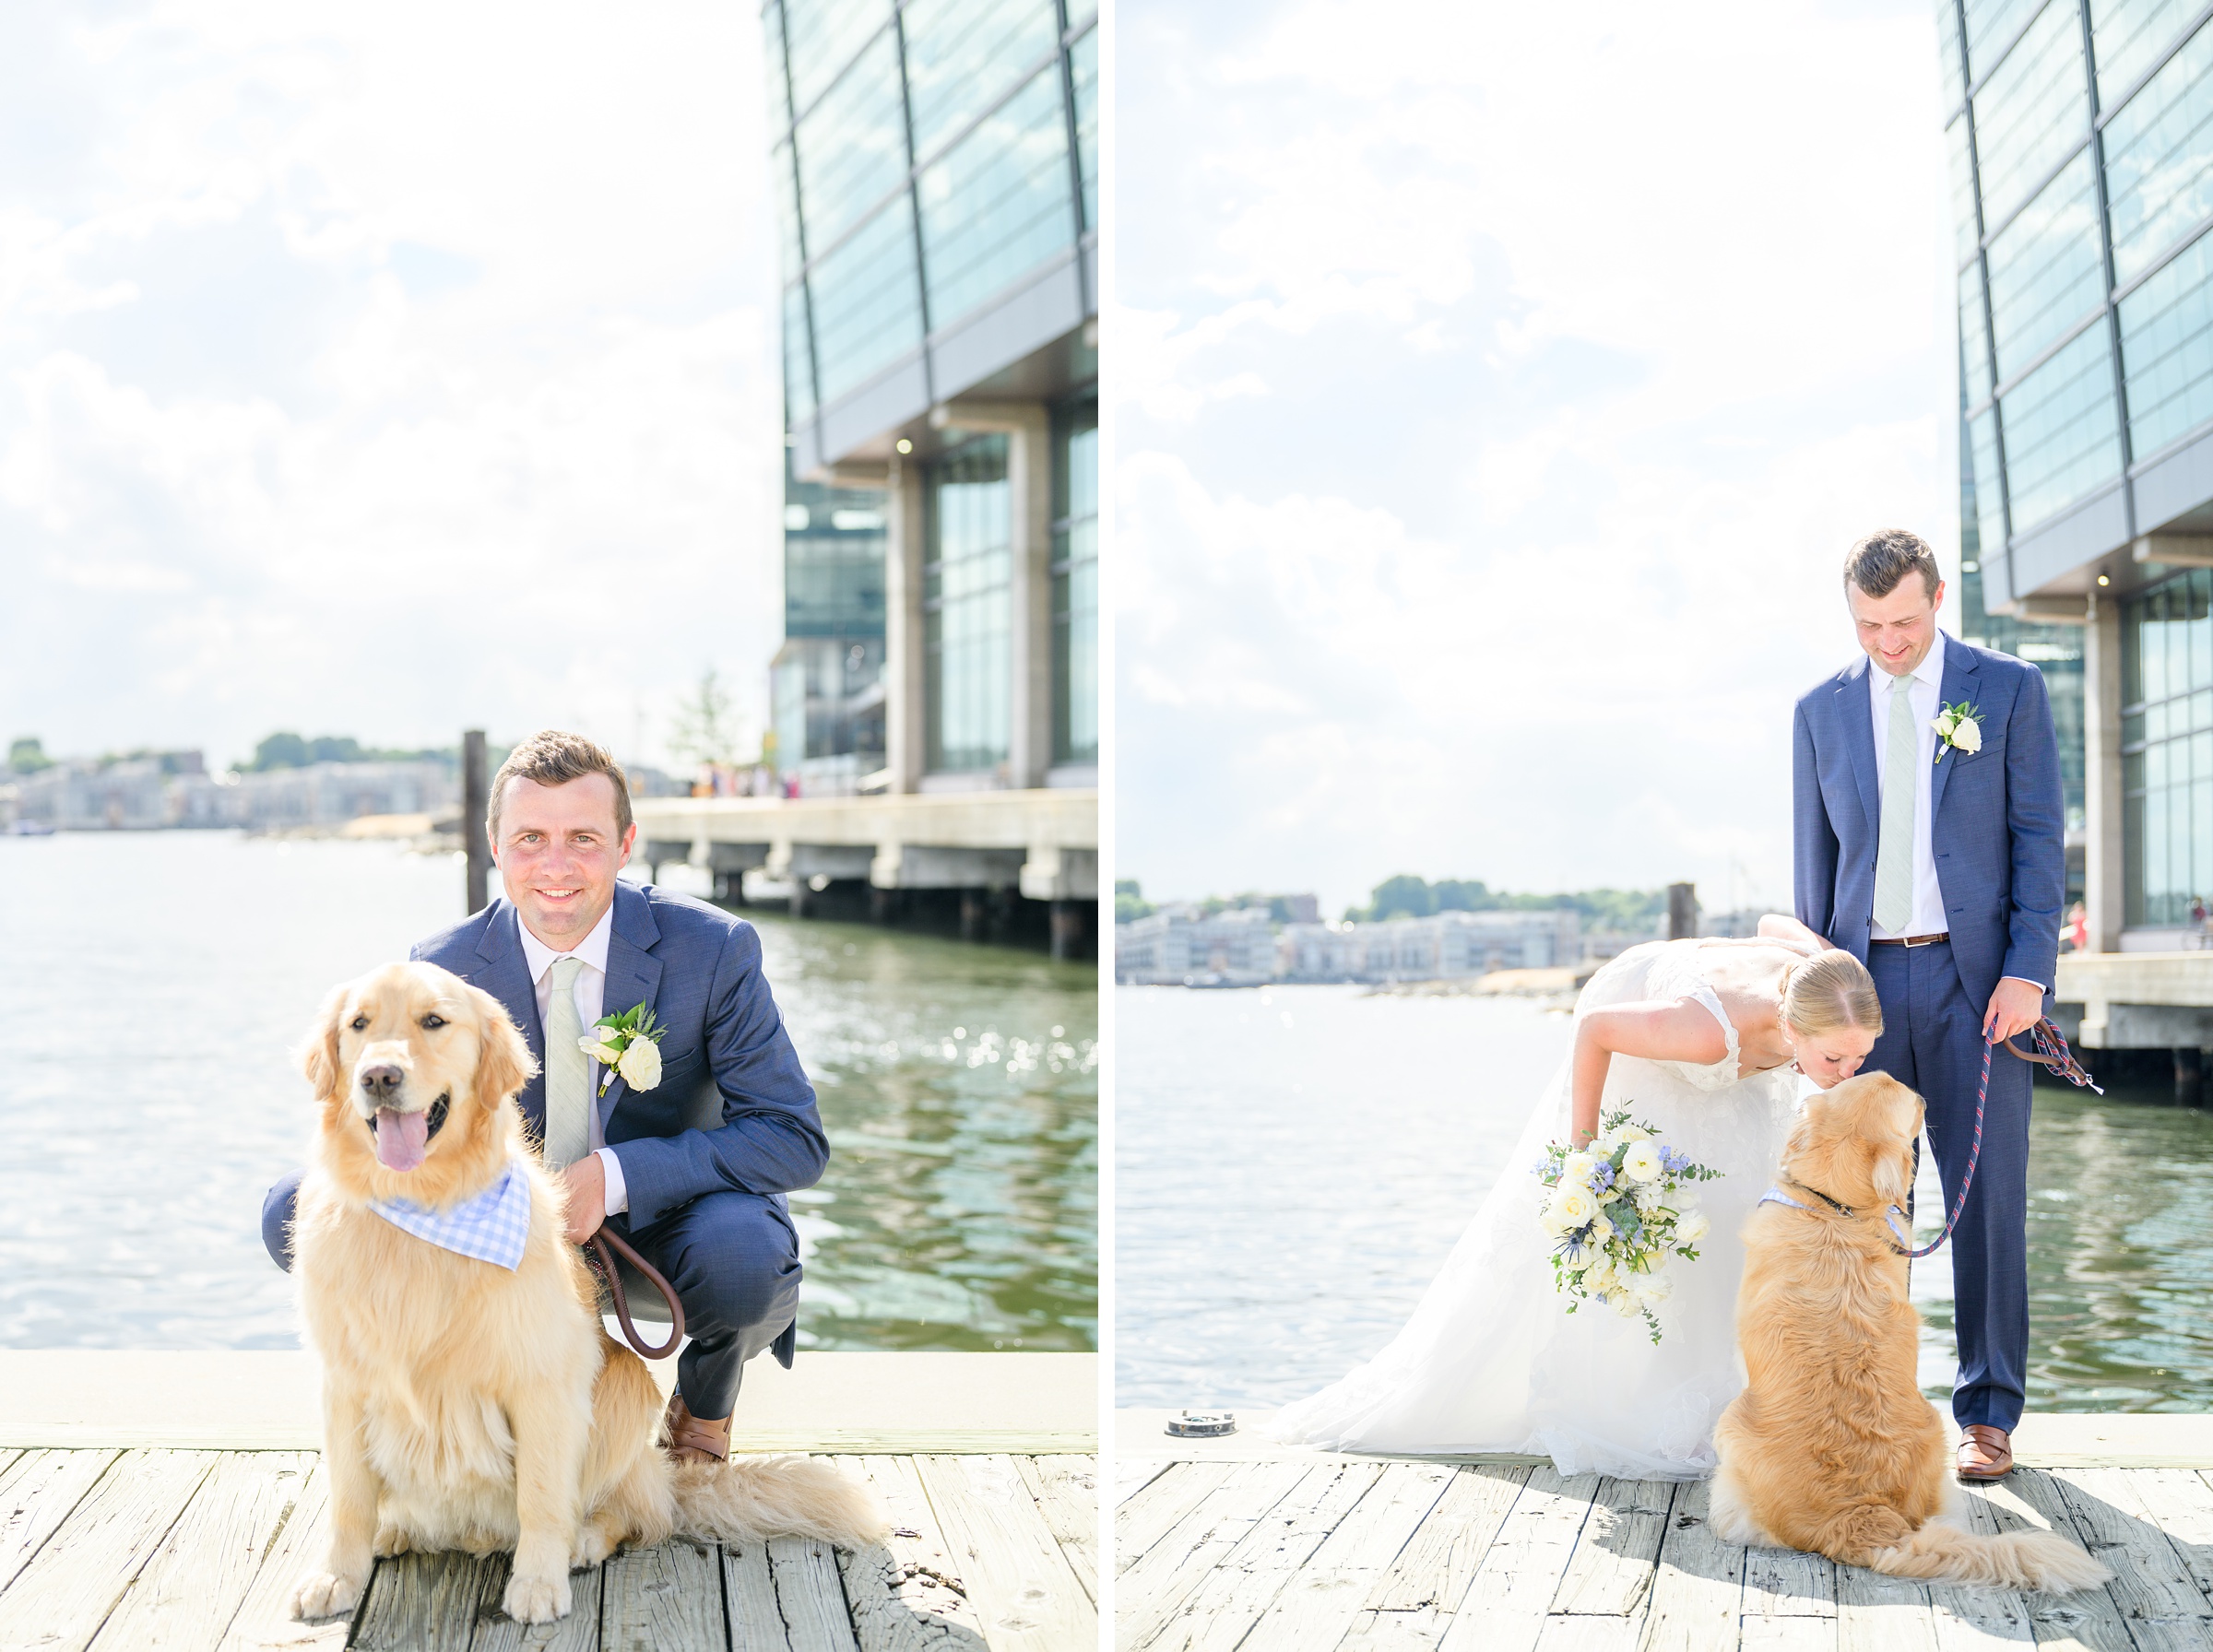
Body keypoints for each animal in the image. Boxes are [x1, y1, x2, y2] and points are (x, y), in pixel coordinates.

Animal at [285, 963, 881, 1619]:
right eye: (358, 1024)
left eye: (434, 1021)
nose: (379, 1076)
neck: (422, 1209)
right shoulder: (345, 1380)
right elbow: (348, 1496)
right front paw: (336, 1575)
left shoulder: (542, 1379)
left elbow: (542, 1495)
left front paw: (537, 1583)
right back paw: (396, 1528)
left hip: (623, 1395)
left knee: (638, 1515)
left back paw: (585, 1539)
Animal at [1708, 1066, 2106, 1592]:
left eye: (1915, 1101)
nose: (1919, 1093)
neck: (1837, 1210)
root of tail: (1862, 1515)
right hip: (1933, 1427)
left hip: (1731, 1427)